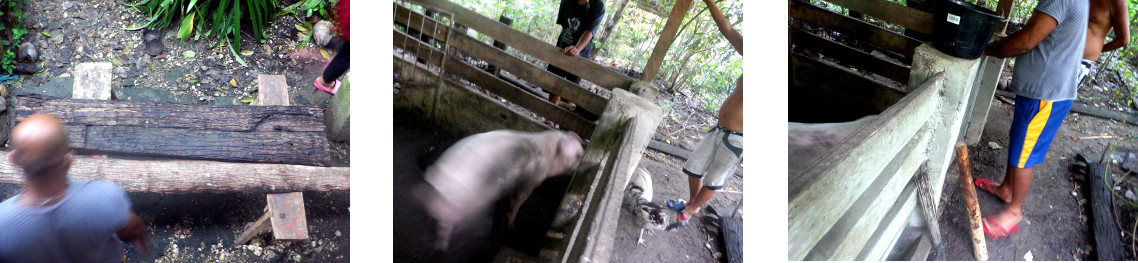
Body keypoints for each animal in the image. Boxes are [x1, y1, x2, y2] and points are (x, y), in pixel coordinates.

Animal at [414, 129, 582, 250]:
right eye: (578, 155)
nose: (579, 168)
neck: (549, 154)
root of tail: (438, 178)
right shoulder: (532, 181)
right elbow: (519, 200)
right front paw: (511, 226)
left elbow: (510, 195)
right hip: (458, 204)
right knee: (446, 225)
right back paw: (443, 246)